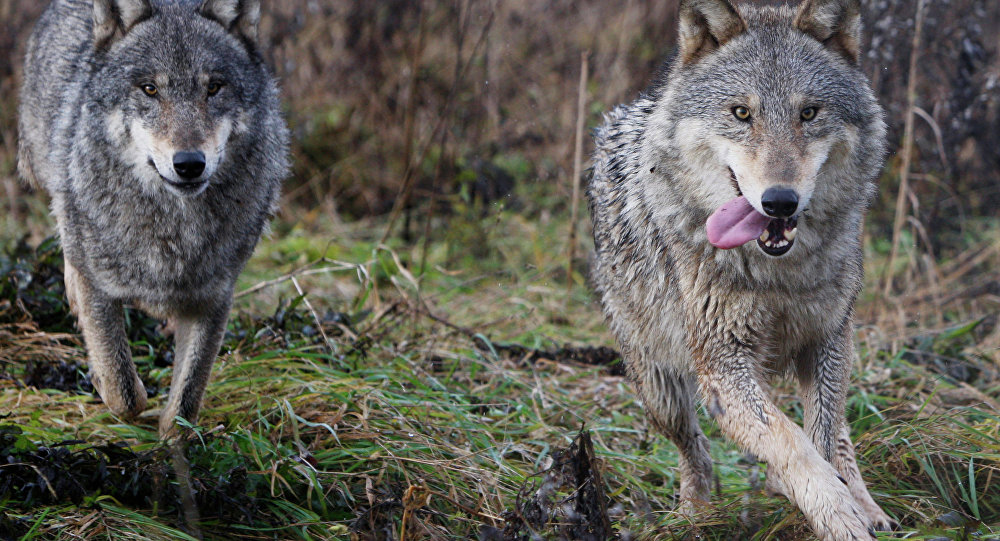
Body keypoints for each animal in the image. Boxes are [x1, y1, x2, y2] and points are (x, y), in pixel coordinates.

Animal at [18, 0, 290, 436]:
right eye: (150, 89)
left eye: (213, 87)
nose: (189, 164)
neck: (172, 230)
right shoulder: (99, 288)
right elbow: (125, 392)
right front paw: (108, 385)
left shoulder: (213, 298)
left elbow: (185, 404)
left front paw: (171, 443)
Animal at [584, 0, 896, 536]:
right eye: (741, 114)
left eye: (808, 113)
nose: (779, 201)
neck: (779, 273)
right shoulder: (723, 365)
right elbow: (792, 442)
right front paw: (838, 517)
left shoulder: (828, 339)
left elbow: (820, 437)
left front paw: (847, 507)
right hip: (661, 390)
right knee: (694, 448)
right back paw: (695, 513)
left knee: (838, 430)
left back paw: (867, 505)